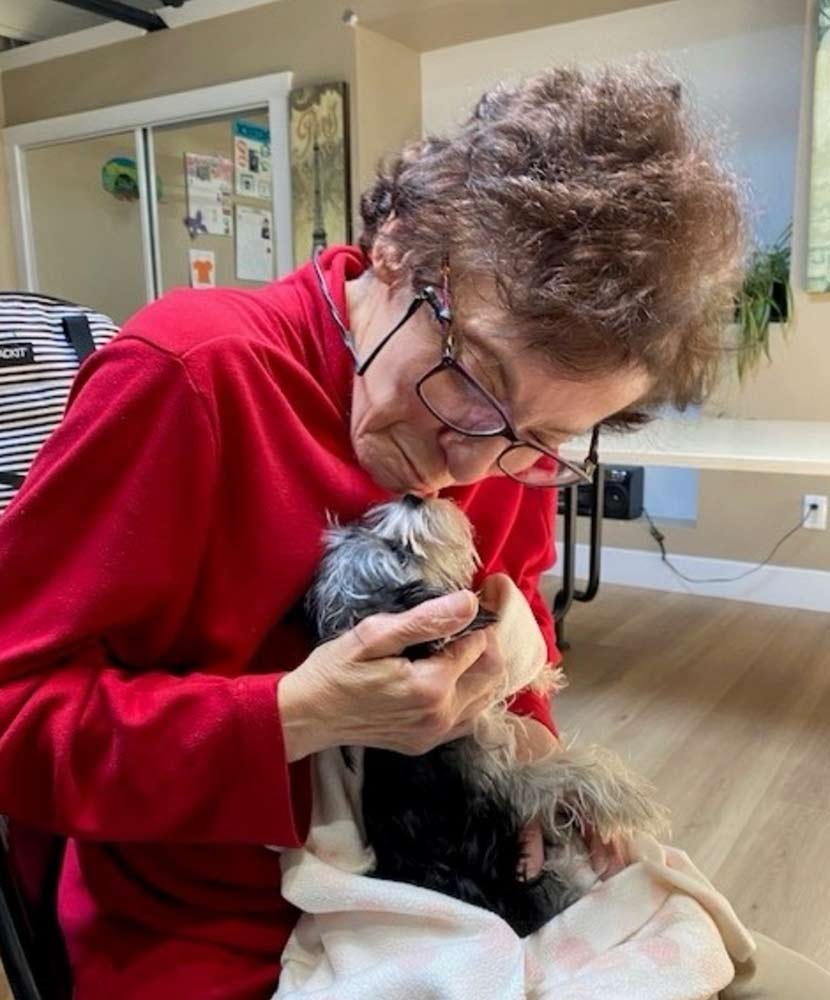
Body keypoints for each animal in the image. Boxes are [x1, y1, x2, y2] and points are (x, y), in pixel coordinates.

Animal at [308, 496, 668, 940]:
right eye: (399, 552)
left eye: (368, 527)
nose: (413, 497)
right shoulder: (504, 791)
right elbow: (568, 768)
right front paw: (633, 797)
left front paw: (545, 675)